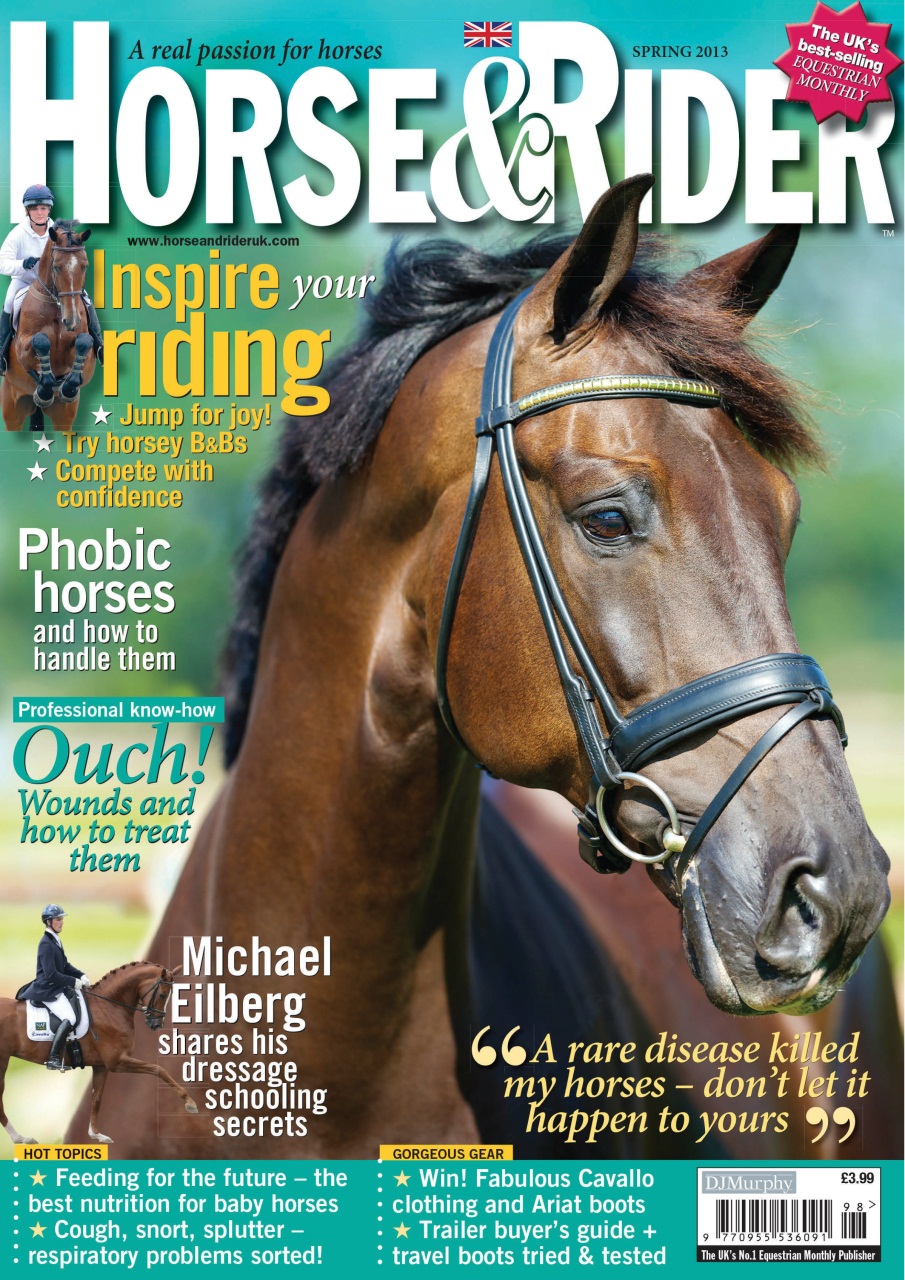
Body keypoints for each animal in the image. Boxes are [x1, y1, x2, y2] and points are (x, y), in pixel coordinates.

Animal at [0, 219, 96, 433]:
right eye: (57, 267)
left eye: (85, 266)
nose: (71, 320)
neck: (56, 307)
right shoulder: (23, 347)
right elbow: (41, 341)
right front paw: (45, 388)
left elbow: (84, 342)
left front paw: (68, 387)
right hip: (12, 406)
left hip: (64, 414)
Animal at [1, 962, 197, 1145]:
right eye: (163, 995)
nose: (156, 1024)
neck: (109, 1006)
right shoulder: (117, 1062)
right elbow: (158, 1069)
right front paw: (189, 1102)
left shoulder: (101, 1066)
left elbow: (96, 1098)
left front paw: (96, 1134)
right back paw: (20, 1138)